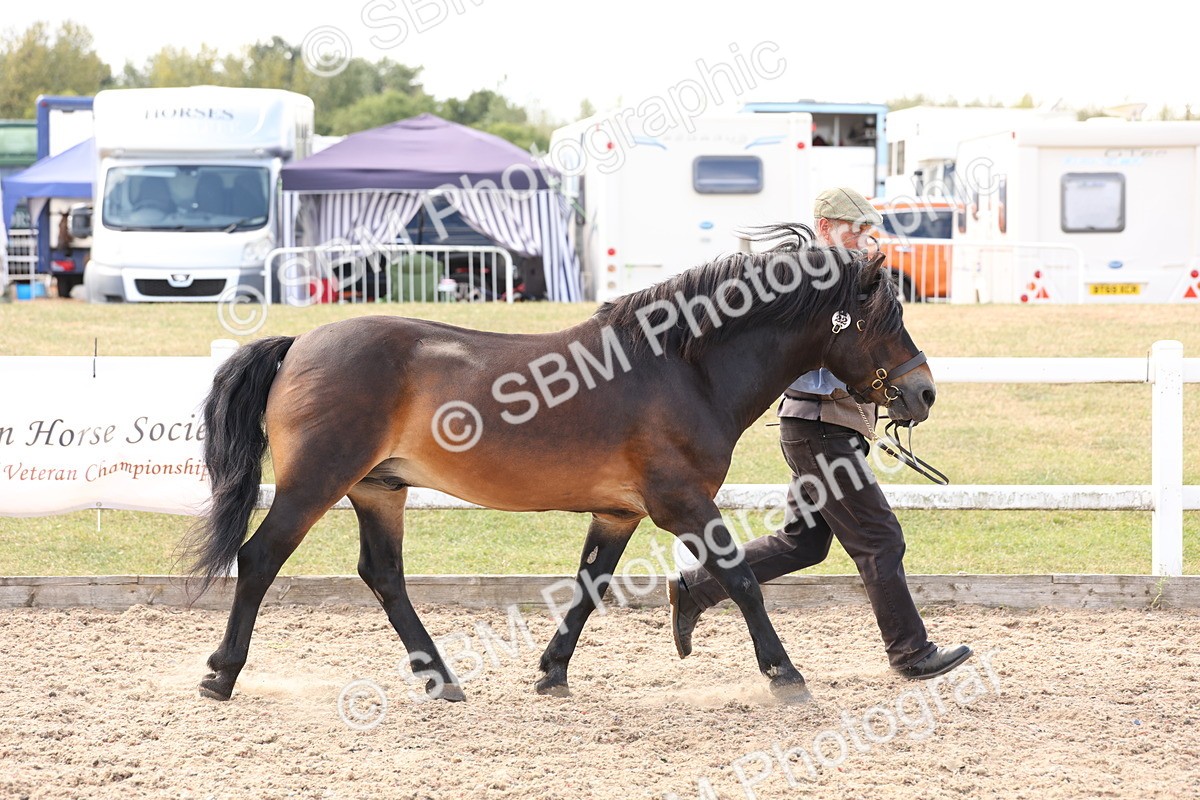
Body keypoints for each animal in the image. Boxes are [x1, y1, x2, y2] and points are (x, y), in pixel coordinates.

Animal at [183, 224, 936, 704]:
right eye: (885, 319)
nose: (924, 392)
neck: (682, 367)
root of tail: (300, 343)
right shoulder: (683, 503)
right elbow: (743, 579)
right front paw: (784, 675)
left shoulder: (619, 512)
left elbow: (588, 587)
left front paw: (551, 672)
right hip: (316, 483)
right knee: (260, 558)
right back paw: (221, 674)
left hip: (379, 489)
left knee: (384, 576)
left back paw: (442, 680)